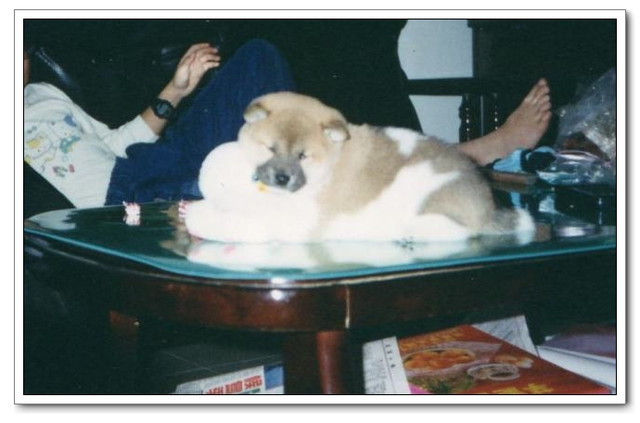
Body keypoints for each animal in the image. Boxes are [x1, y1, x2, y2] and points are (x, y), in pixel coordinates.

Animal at [184, 92, 534, 243]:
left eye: (302, 155)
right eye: (271, 148)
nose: (282, 178)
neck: (331, 160)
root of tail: (488, 206)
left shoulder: (299, 219)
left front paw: (199, 217)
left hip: (430, 202)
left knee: (459, 231)